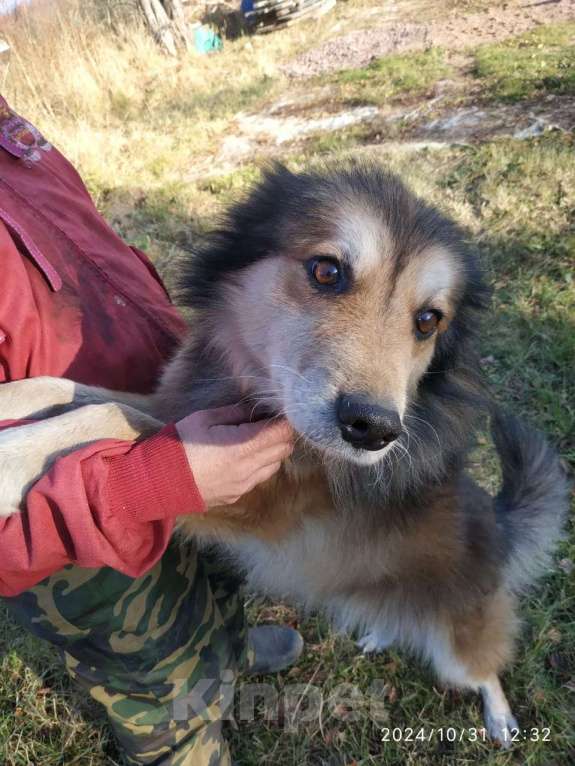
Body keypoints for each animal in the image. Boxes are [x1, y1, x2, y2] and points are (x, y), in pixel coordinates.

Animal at [0, 162, 568, 744]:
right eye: (327, 271)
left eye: (429, 320)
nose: (373, 430)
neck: (251, 394)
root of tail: (499, 524)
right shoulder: (176, 405)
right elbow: (73, 390)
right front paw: (13, 405)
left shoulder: (249, 501)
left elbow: (113, 417)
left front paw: (13, 457)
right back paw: (380, 633)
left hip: (458, 642)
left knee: (485, 670)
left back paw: (499, 718)